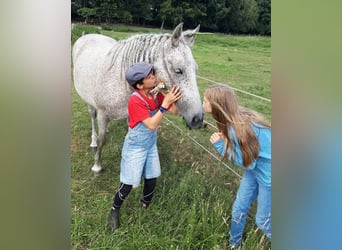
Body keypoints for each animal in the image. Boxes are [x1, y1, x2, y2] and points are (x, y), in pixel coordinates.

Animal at [72, 22, 203, 173]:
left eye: (196, 69)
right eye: (178, 70)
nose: (198, 120)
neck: (122, 79)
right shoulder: (103, 114)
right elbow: (102, 140)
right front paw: (97, 166)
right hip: (89, 102)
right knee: (93, 118)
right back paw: (93, 141)